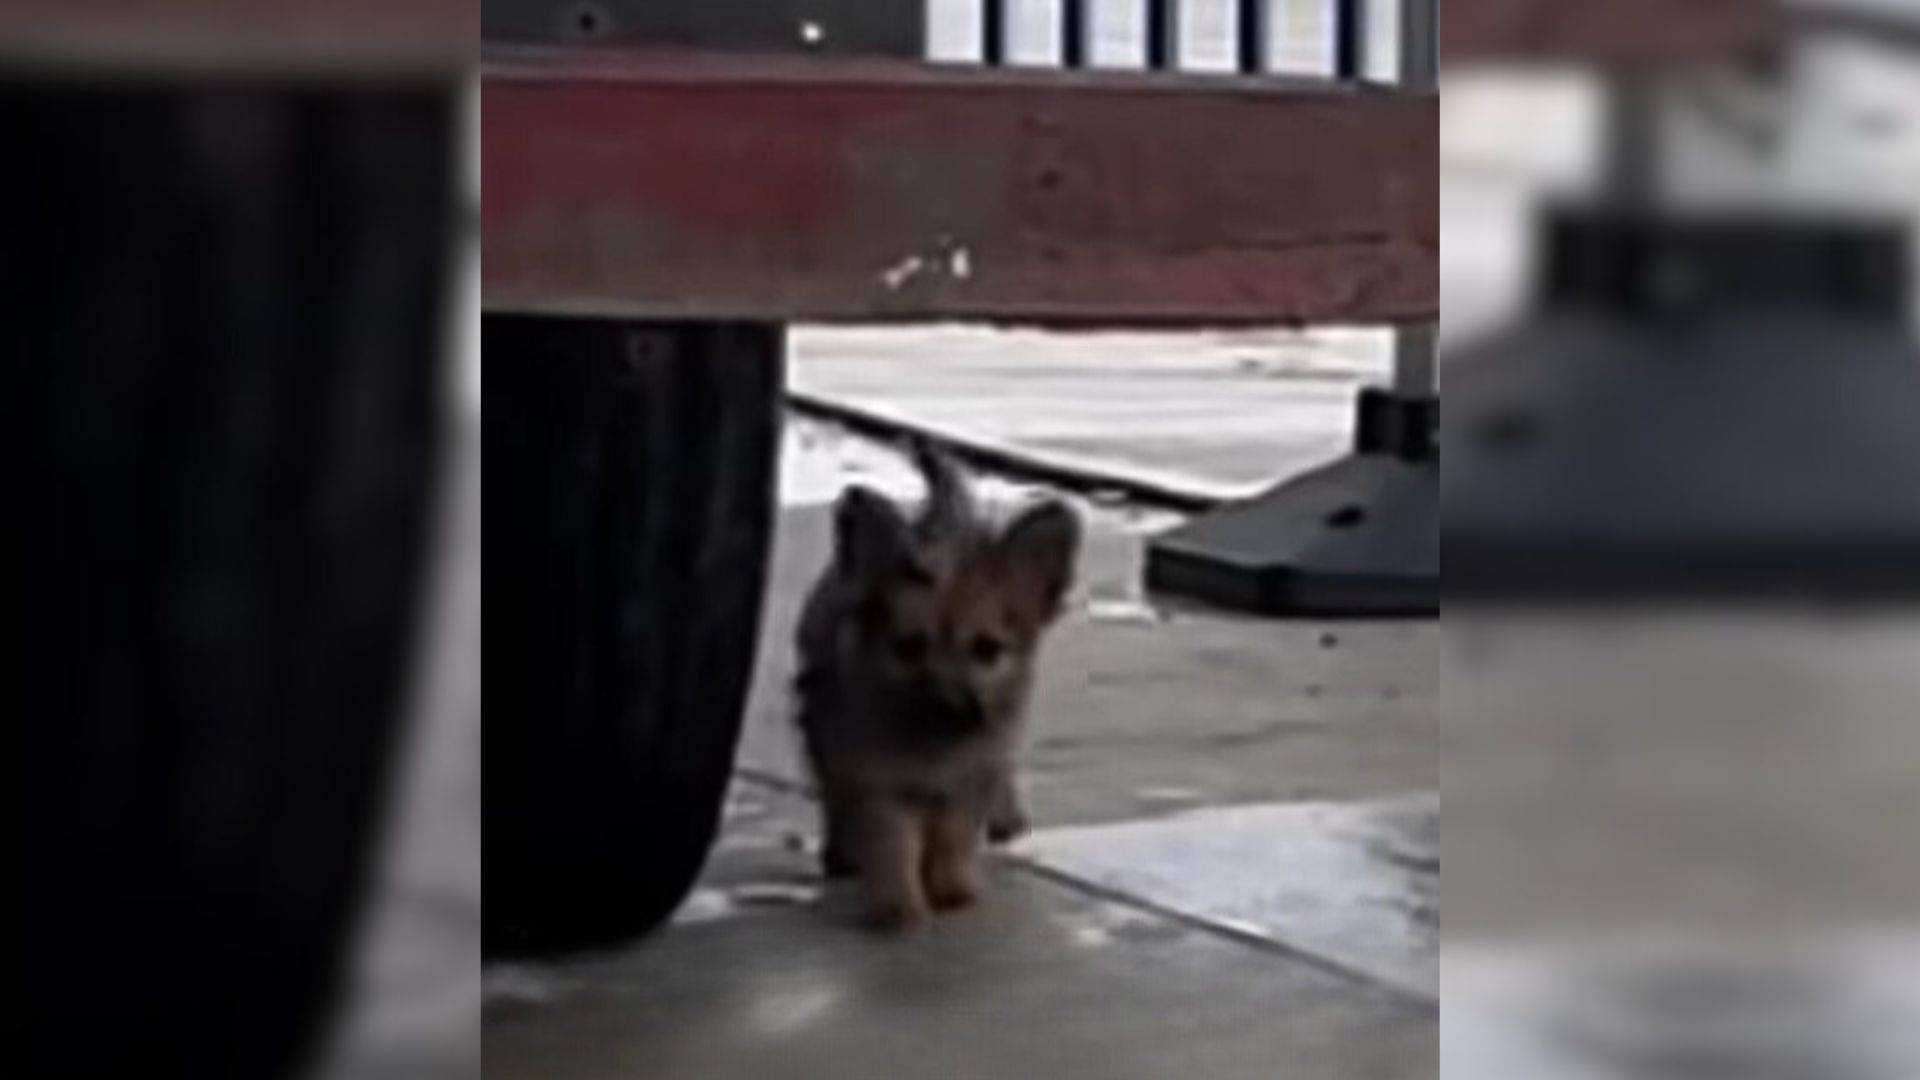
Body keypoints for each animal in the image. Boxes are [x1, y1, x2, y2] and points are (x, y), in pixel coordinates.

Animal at [791, 441, 1082, 930]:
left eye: (986, 650)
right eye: (908, 647)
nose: (947, 703)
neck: (935, 748)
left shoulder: (973, 773)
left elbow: (954, 834)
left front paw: (951, 888)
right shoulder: (875, 775)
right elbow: (891, 839)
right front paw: (898, 905)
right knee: (834, 794)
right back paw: (841, 852)